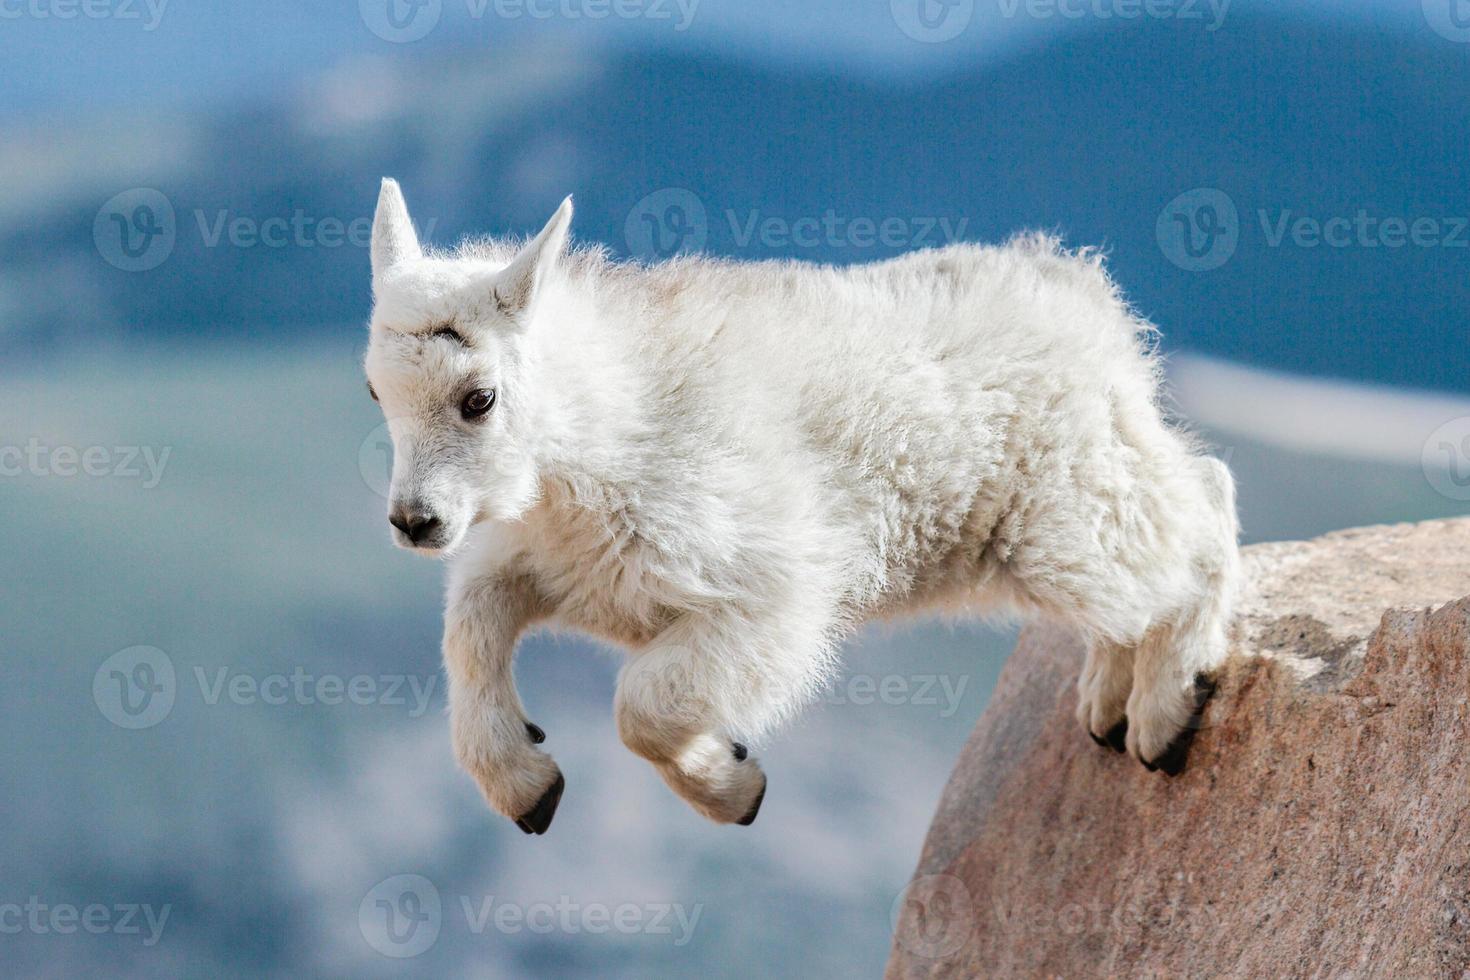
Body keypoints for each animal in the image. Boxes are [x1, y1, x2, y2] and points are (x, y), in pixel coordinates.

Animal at [361, 178, 1234, 834]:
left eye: (479, 397)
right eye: (375, 390)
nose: (415, 523)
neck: (598, 432)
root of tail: (1086, 296)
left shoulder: (767, 599)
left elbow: (642, 706)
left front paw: (734, 788)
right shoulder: (543, 564)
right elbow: (472, 627)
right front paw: (528, 785)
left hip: (1056, 516)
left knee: (1200, 515)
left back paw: (1163, 708)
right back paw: (1109, 699)